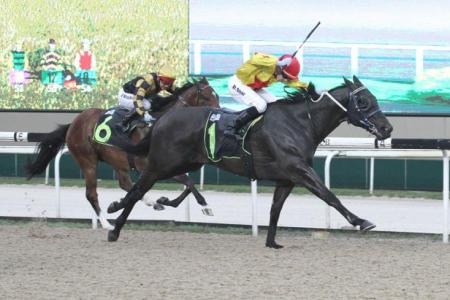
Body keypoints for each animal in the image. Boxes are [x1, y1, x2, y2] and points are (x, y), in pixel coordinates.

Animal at [25, 77, 220, 227]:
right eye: (207, 97)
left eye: (216, 95)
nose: (219, 113)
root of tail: (73, 123)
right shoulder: (154, 167)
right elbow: (188, 182)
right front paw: (204, 206)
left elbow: (189, 184)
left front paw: (165, 201)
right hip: (87, 161)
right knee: (91, 193)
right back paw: (105, 223)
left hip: (117, 161)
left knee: (125, 183)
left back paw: (149, 202)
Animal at [107, 75, 392, 248]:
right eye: (363, 101)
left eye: (374, 99)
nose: (387, 128)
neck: (300, 122)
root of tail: (161, 120)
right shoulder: (299, 169)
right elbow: (329, 195)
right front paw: (361, 221)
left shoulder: (287, 178)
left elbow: (275, 209)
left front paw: (272, 242)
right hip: (163, 163)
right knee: (138, 189)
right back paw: (115, 224)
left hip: (186, 163)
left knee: (158, 186)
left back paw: (124, 210)